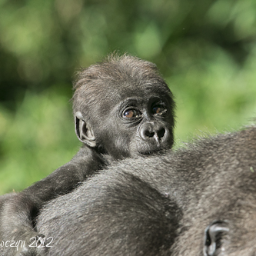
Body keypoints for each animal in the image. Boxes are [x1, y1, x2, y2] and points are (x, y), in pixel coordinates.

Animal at [0, 53, 176, 254]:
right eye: (130, 114)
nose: (155, 131)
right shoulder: (81, 166)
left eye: (158, 109)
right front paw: (22, 238)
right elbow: (22, 200)